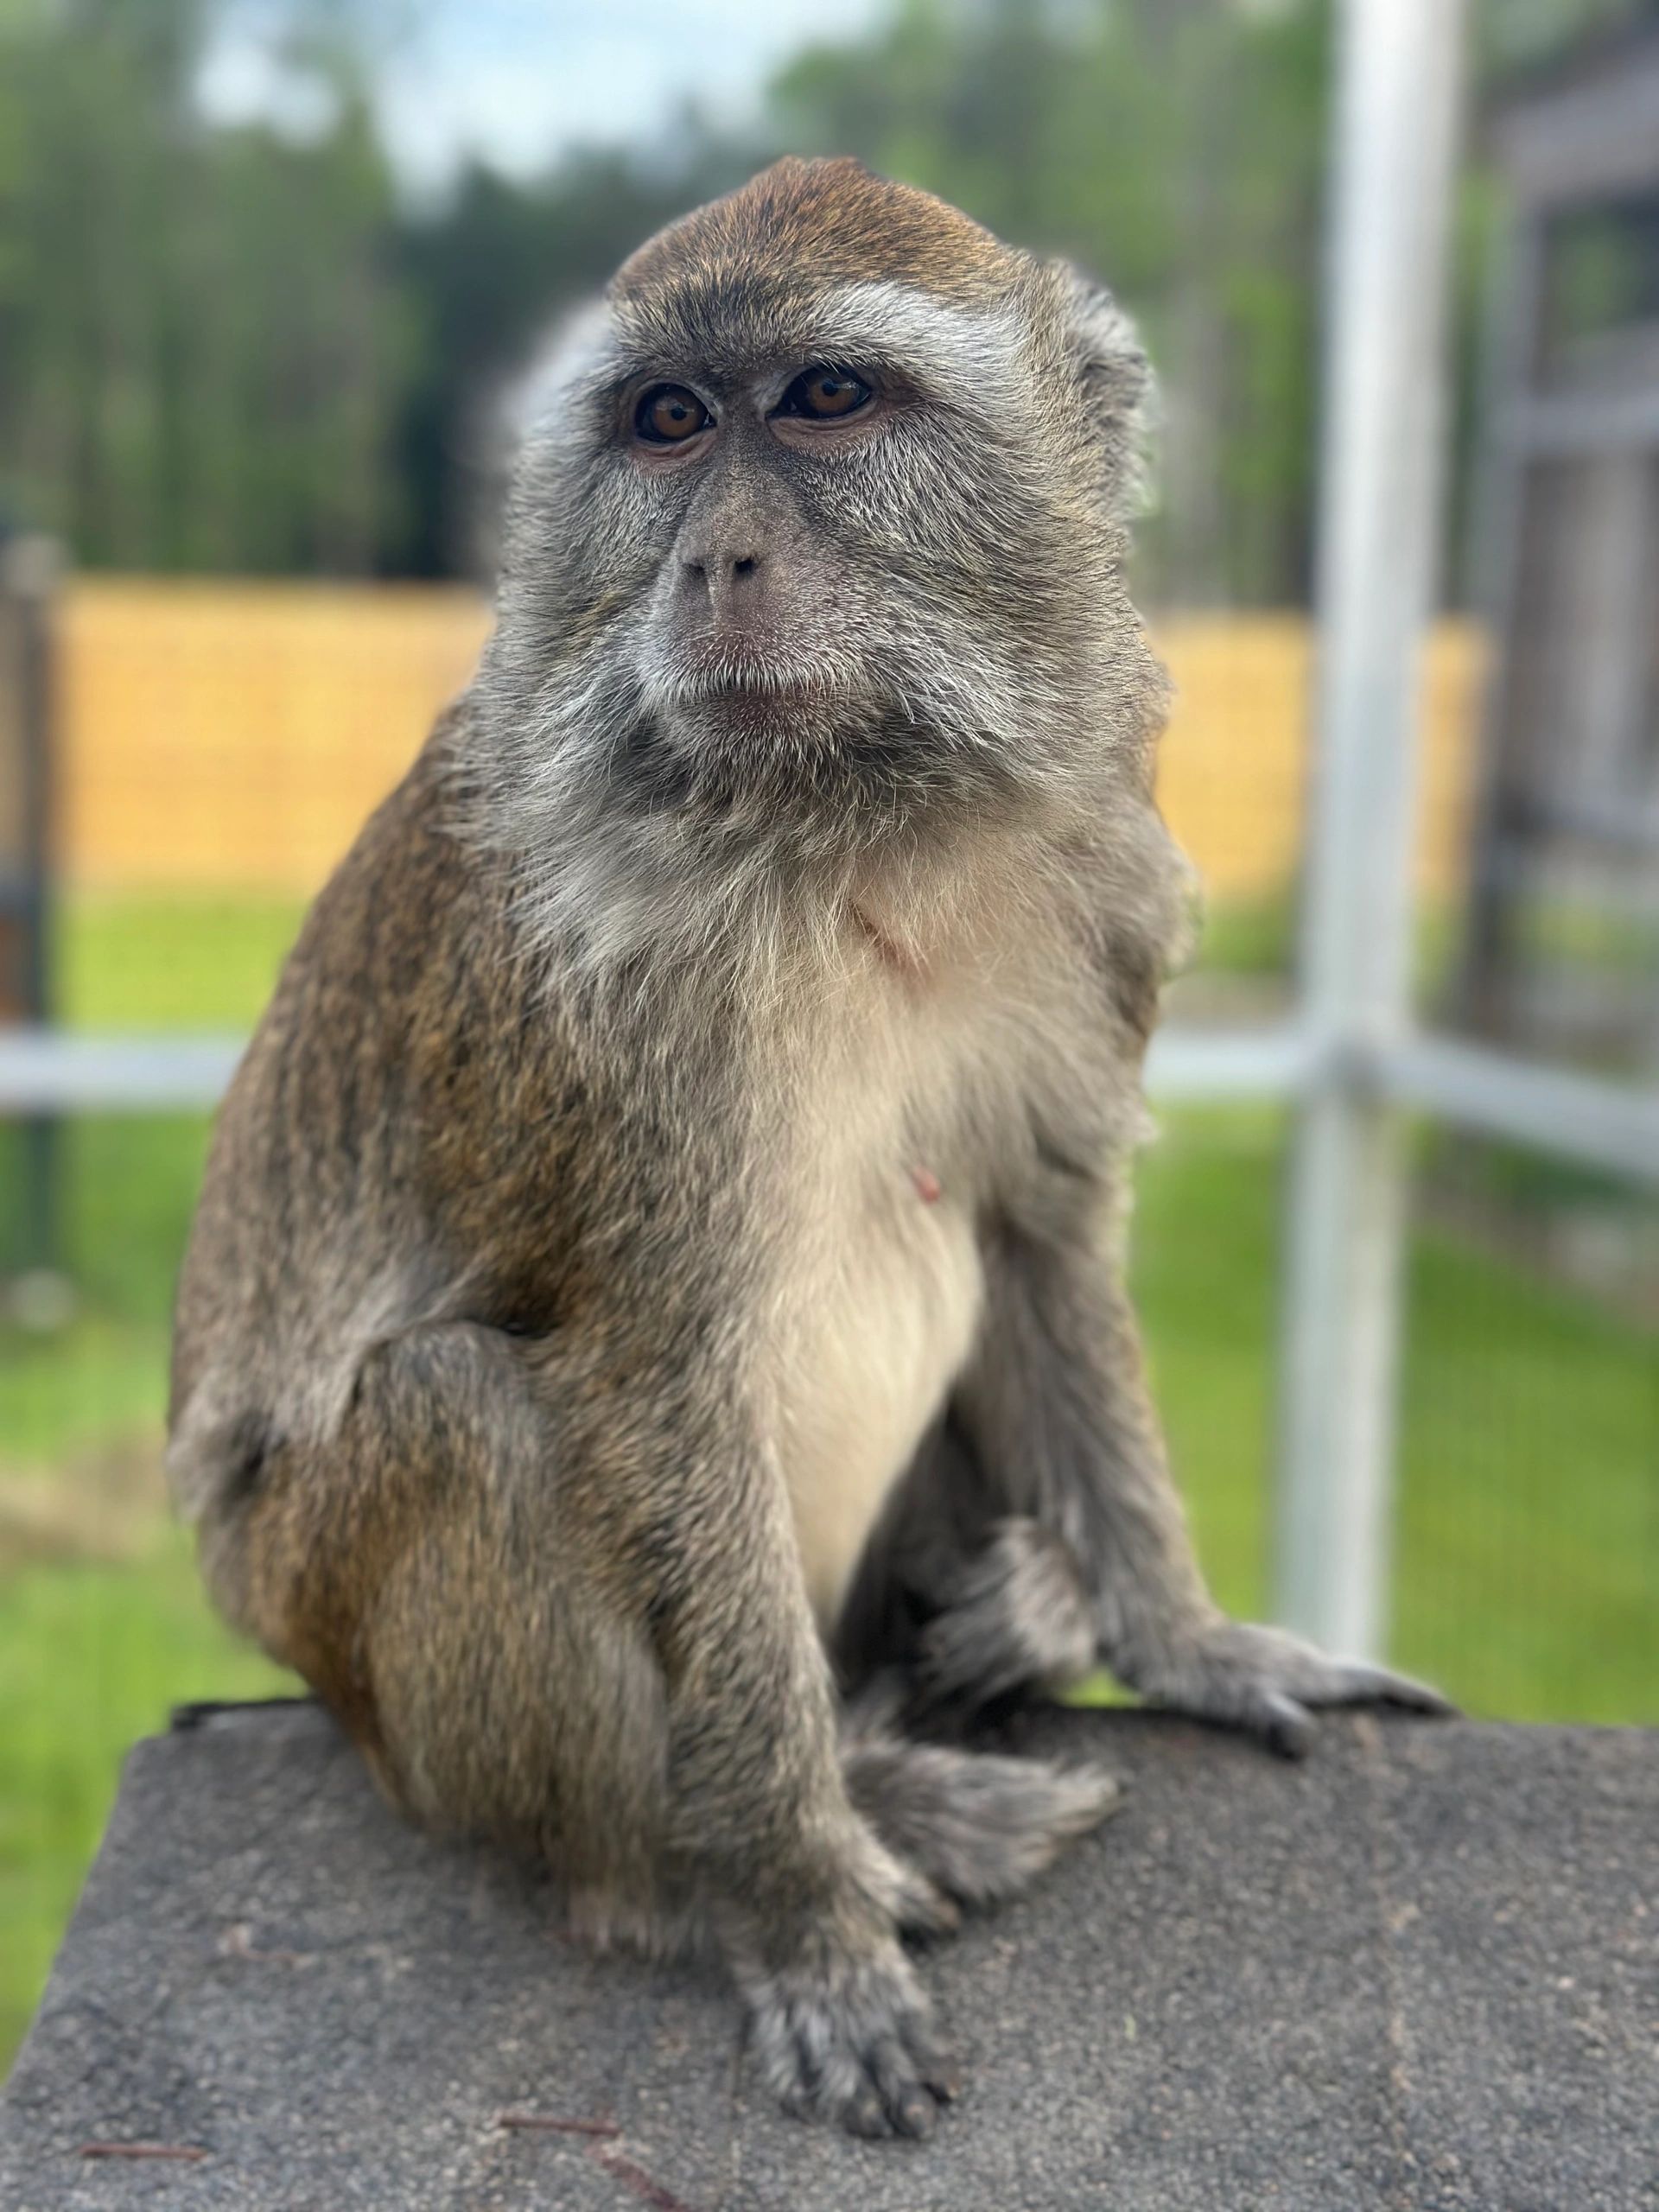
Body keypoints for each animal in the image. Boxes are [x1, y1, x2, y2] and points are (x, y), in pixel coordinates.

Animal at [167, 157, 1449, 2140]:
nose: (716, 562)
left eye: (830, 400)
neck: (858, 823)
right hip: (326, 1613)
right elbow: (657, 1377)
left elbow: (1043, 1233)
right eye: (667, 425)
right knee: (461, 1413)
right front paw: (799, 1905)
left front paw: (1182, 1636)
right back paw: (723, 1851)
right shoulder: (607, 1024)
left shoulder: (1094, 893)